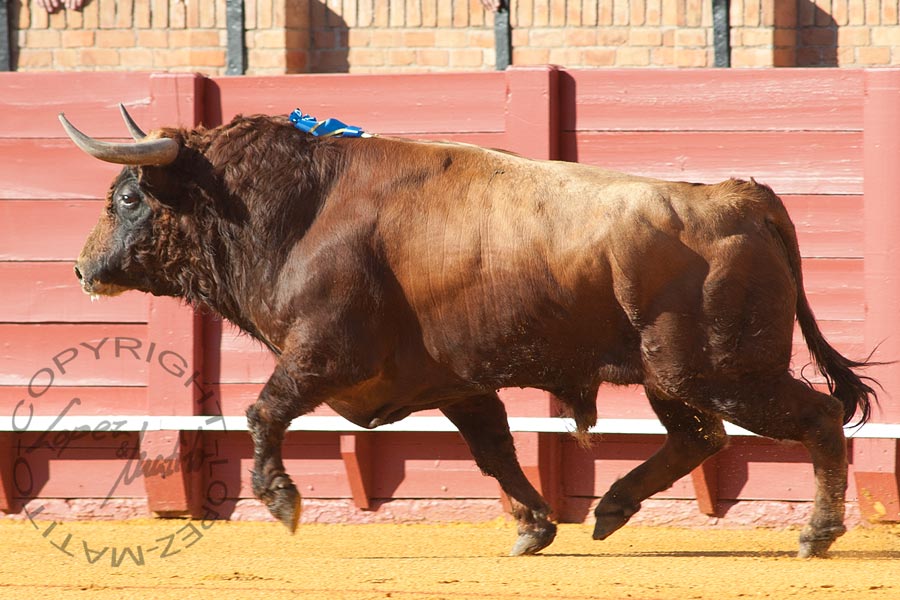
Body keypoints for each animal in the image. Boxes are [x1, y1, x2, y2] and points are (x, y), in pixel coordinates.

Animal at [59, 104, 876, 556]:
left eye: (128, 195)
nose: (81, 268)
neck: (299, 209)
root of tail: (747, 196)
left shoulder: (321, 355)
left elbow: (263, 412)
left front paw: (282, 501)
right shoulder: (457, 384)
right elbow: (494, 451)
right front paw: (534, 526)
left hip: (723, 371)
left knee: (817, 418)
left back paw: (815, 534)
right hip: (672, 377)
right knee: (698, 437)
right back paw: (610, 510)